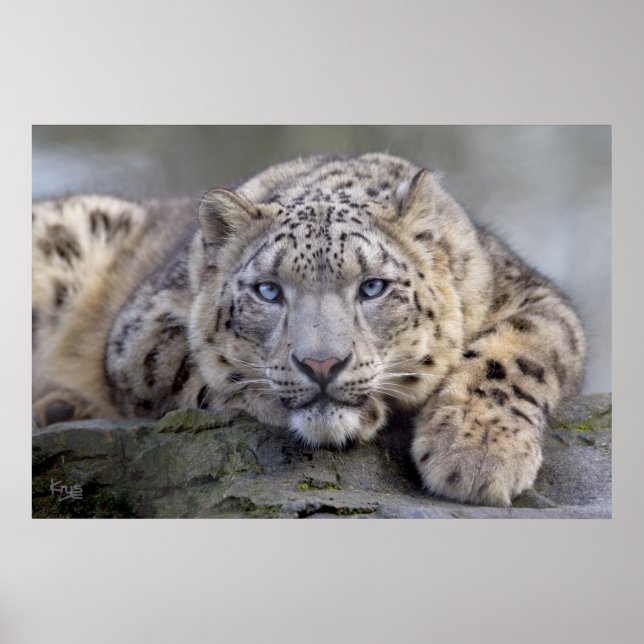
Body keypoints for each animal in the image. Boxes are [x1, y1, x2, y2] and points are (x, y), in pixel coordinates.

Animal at [32, 152, 586, 506]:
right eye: (269, 290)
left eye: (373, 287)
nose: (322, 364)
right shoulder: (142, 331)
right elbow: (208, 370)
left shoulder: (533, 296)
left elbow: (516, 352)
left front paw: (477, 453)